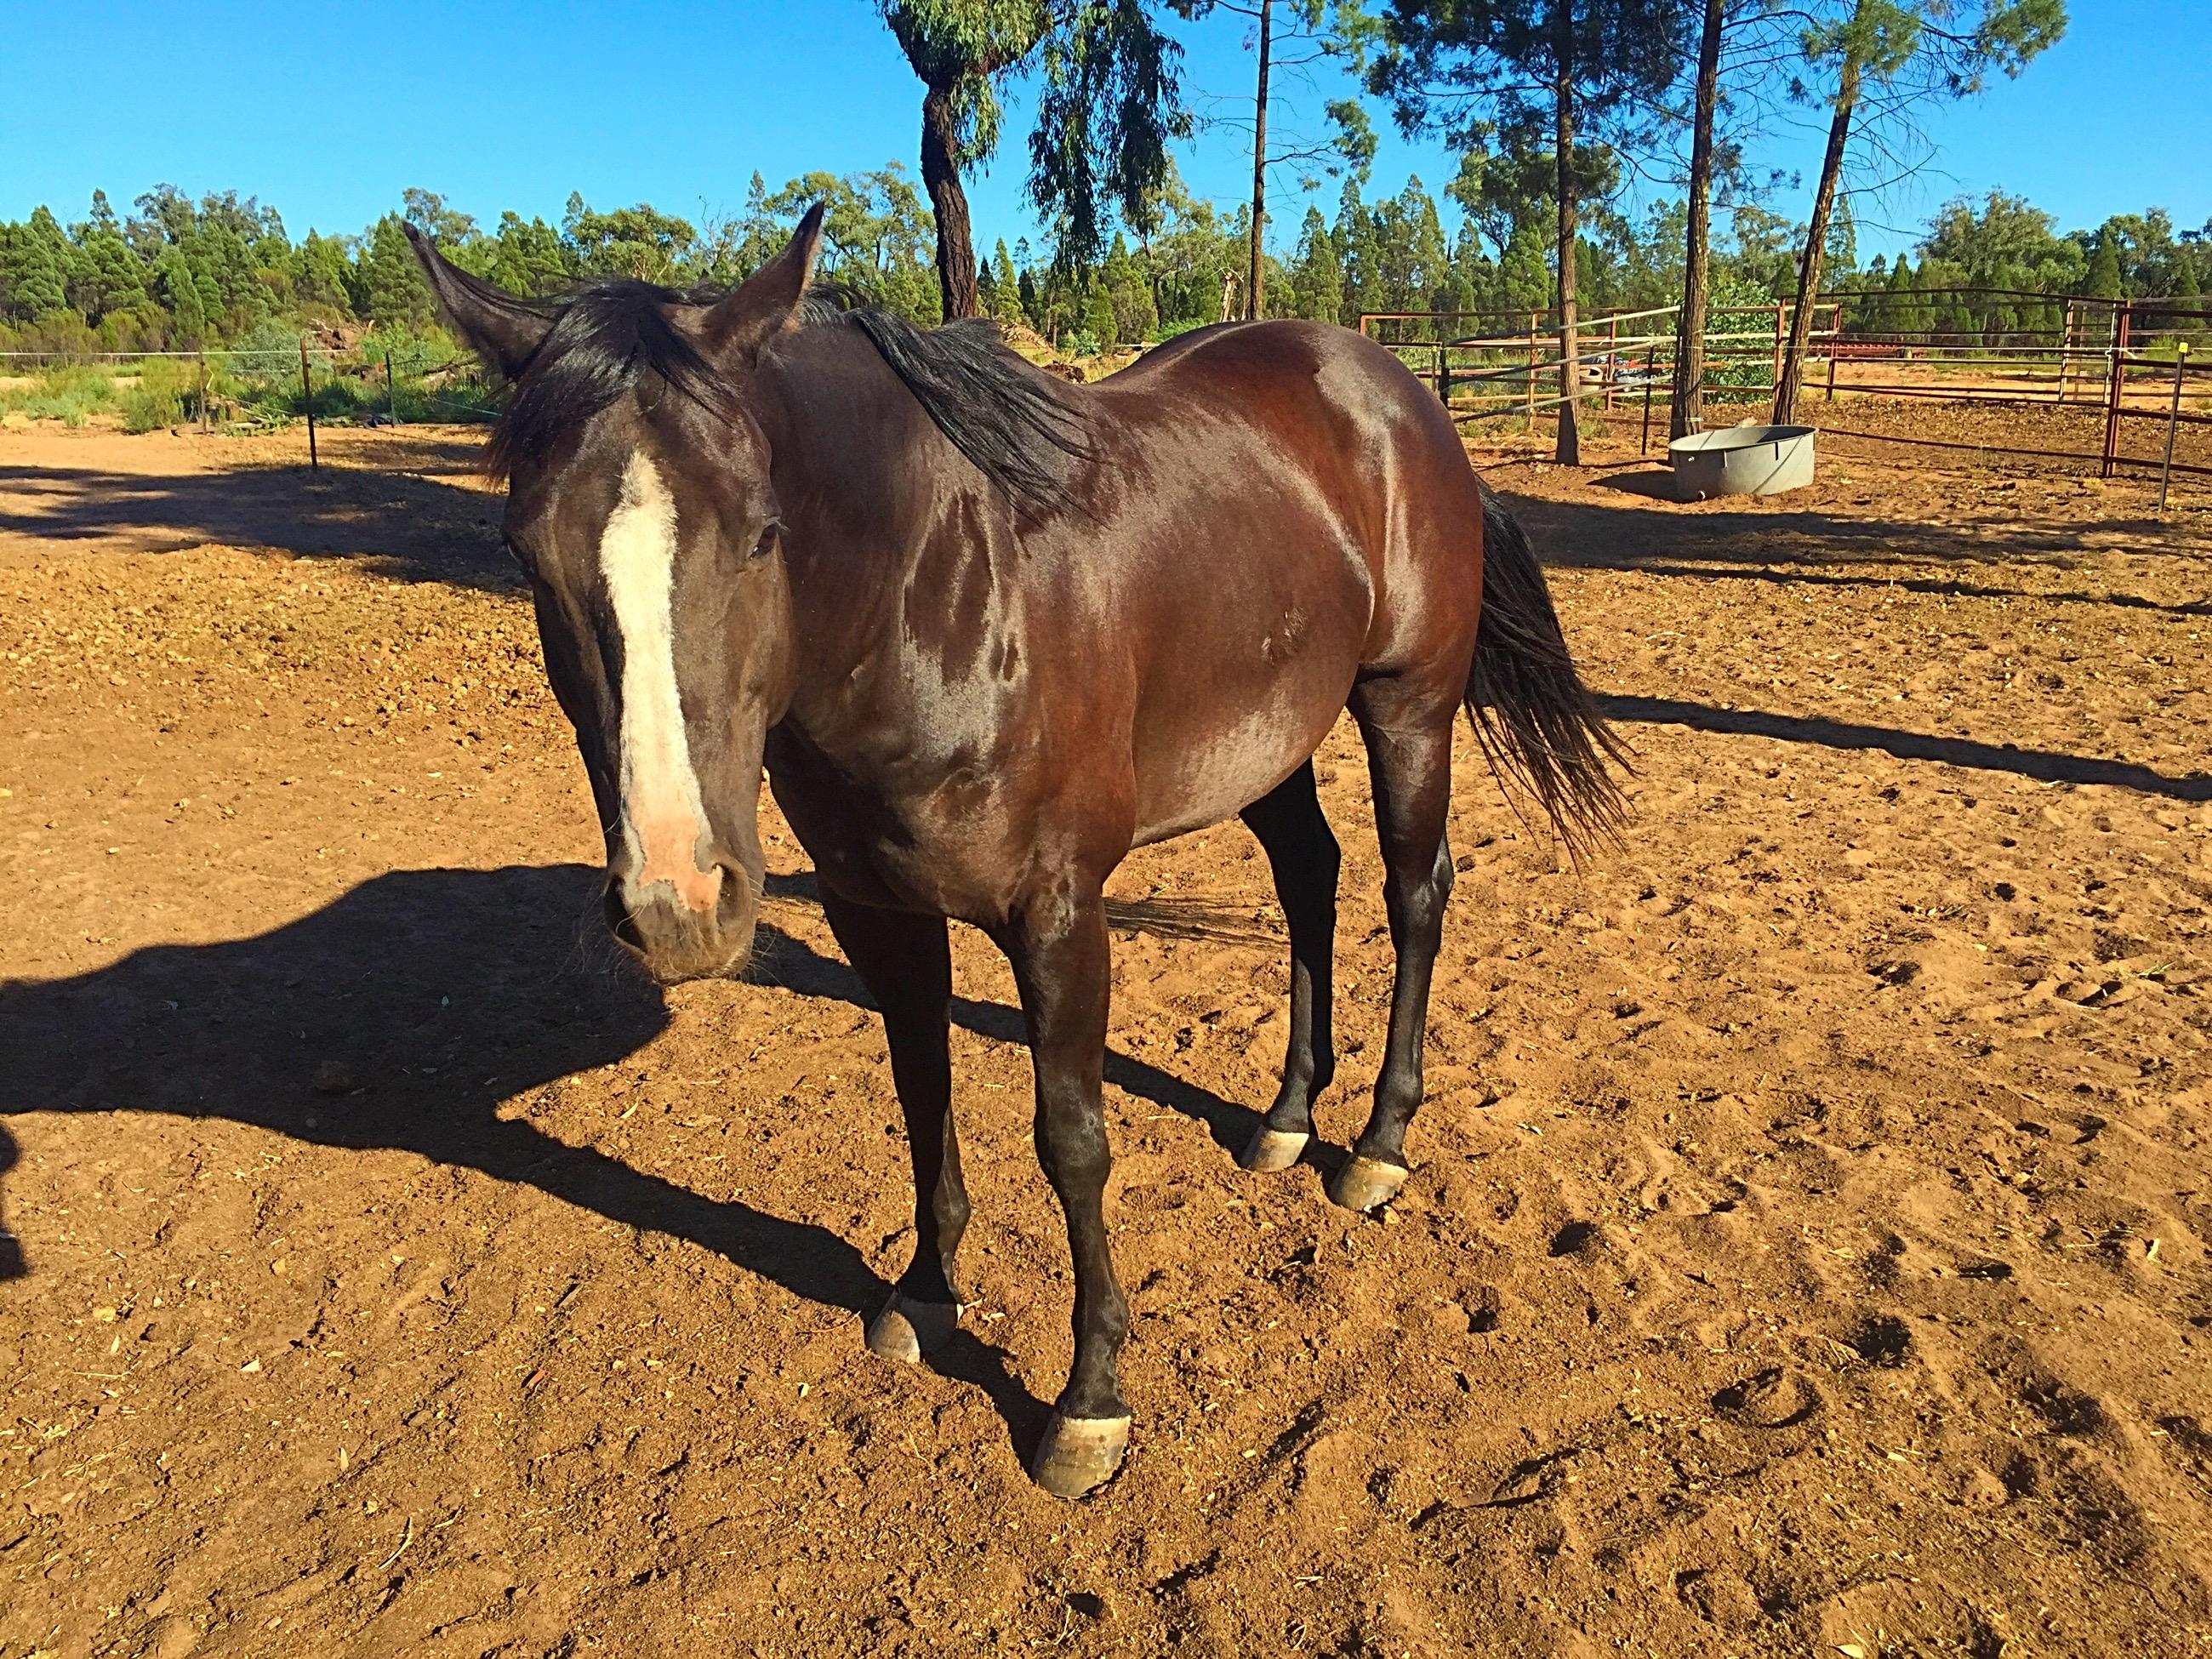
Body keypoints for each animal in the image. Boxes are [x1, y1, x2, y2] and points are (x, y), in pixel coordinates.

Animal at [404, 207, 1625, 1498]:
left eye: (763, 533)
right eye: (524, 551)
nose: (679, 900)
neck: (934, 601)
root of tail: (1396, 389)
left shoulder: (1058, 916)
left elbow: (1072, 1141)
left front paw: (1089, 1398)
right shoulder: (876, 913)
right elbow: (921, 1091)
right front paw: (925, 1293)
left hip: (1408, 709)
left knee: (1413, 895)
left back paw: (1378, 1145)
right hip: (1265, 741)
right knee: (1310, 881)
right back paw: (1289, 1116)